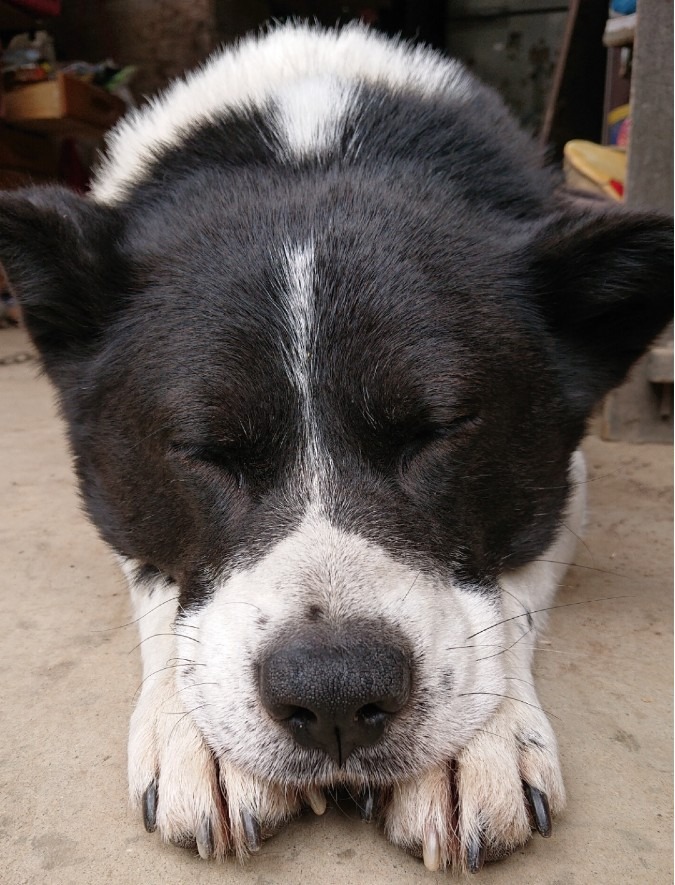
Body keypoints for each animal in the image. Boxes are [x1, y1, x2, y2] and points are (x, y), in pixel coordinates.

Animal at [0, 20, 672, 872]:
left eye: (439, 432)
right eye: (204, 451)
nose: (334, 696)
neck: (313, 140)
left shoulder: (564, 473)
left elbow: (508, 589)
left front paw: (473, 742)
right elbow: (156, 576)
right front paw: (198, 732)